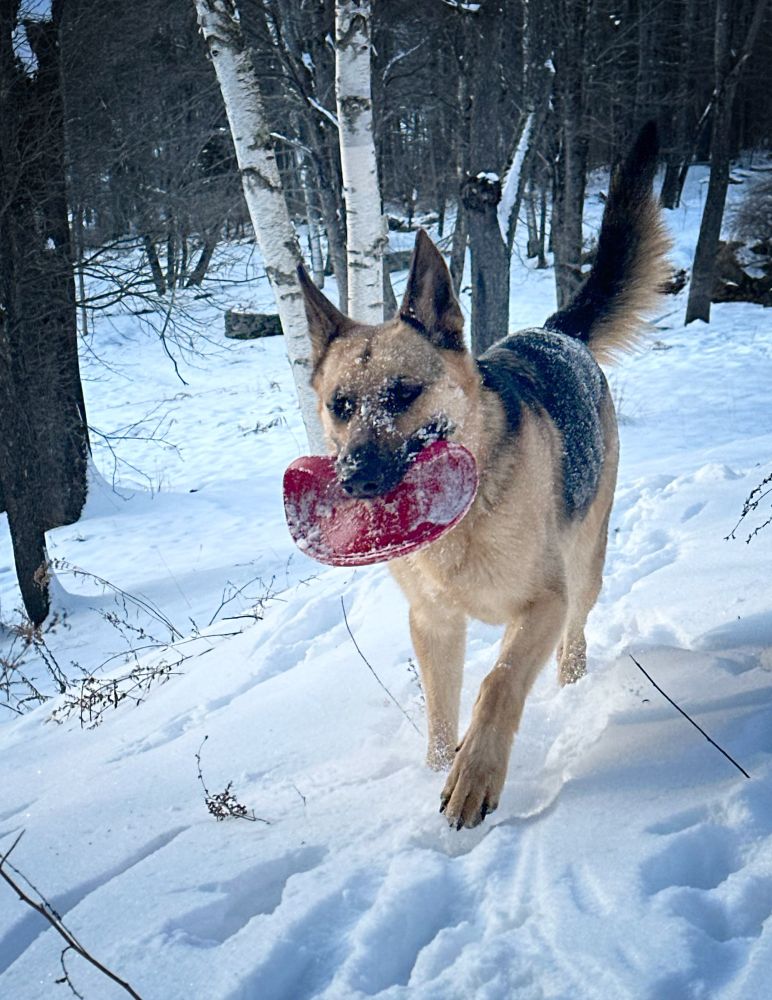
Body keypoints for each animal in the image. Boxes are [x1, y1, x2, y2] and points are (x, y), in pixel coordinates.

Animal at [297, 123, 670, 830]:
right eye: (341, 406)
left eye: (403, 393)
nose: (356, 479)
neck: (461, 518)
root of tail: (557, 333)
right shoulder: (433, 625)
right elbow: (442, 719)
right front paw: (442, 769)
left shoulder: (544, 603)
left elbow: (497, 684)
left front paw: (474, 778)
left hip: (585, 567)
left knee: (574, 643)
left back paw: (571, 693)